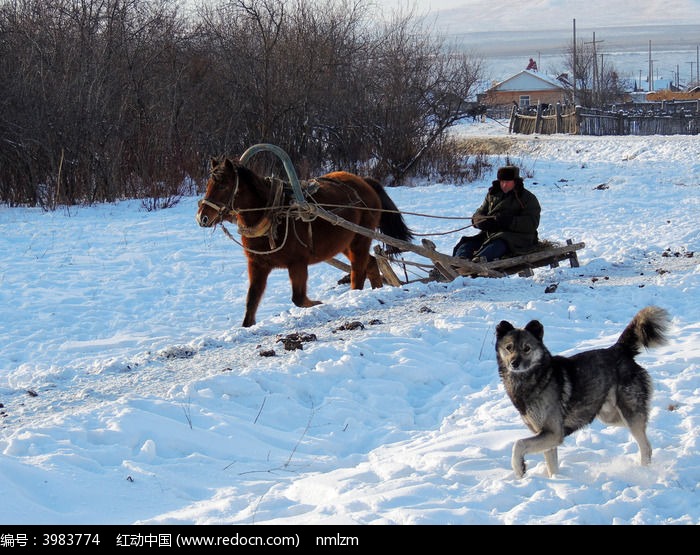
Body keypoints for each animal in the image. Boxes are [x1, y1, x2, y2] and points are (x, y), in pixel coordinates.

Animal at [194, 156, 412, 328]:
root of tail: (364, 181)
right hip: (345, 243)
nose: (202, 218)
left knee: (358, 274)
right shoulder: (257, 265)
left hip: (360, 238)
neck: (273, 215)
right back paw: (376, 292)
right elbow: (251, 301)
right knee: (372, 263)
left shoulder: (298, 263)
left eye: (224, 186)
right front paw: (248, 325)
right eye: (208, 185)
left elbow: (298, 298)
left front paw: (319, 304)